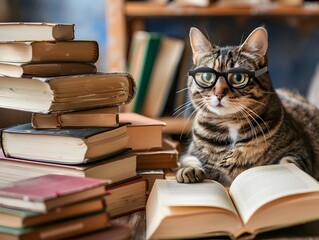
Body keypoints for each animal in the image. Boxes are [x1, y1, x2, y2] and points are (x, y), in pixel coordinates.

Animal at [176, 26, 319, 188]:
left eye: (238, 78)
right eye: (207, 76)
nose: (219, 93)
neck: (230, 124)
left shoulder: (300, 151)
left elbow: (288, 163)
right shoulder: (191, 151)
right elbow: (188, 158)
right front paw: (188, 169)